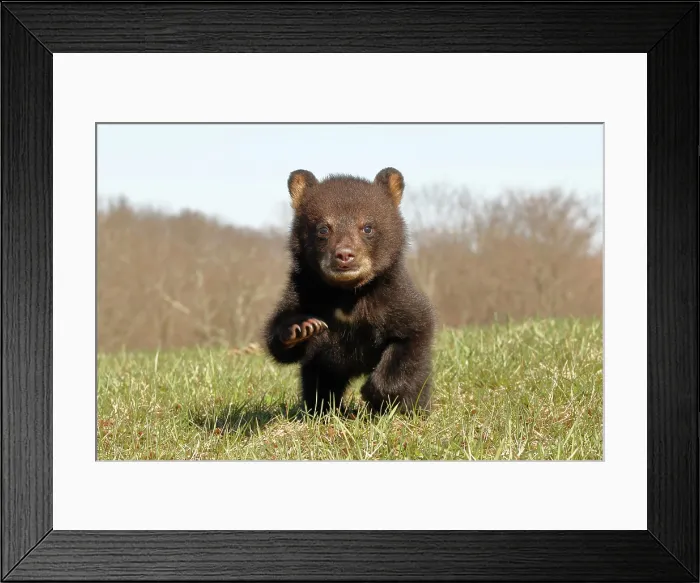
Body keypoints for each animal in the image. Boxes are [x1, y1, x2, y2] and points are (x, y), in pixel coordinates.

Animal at [263, 167, 436, 416]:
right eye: (323, 229)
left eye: (367, 227)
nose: (345, 255)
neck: (347, 294)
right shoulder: (304, 291)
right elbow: (279, 340)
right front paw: (302, 328)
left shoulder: (395, 299)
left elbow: (412, 333)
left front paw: (374, 393)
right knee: (318, 385)